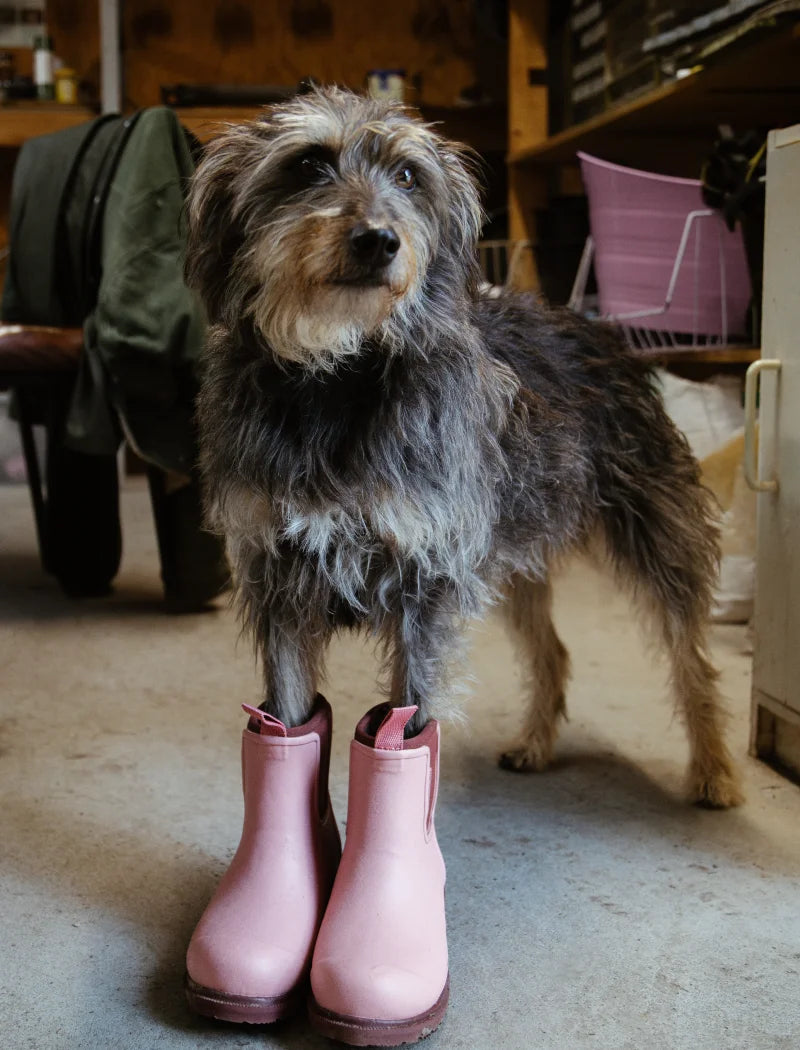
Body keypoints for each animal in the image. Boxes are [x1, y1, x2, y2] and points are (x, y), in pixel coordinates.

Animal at [185, 86, 743, 806]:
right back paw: (536, 744)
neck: (338, 378)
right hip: (516, 556)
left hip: (656, 544)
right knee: (554, 653)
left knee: (693, 661)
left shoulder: (427, 584)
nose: (378, 240)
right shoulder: (277, 576)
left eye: (406, 176)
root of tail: (596, 326)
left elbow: (406, 722)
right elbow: (288, 718)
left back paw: (715, 771)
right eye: (308, 164)